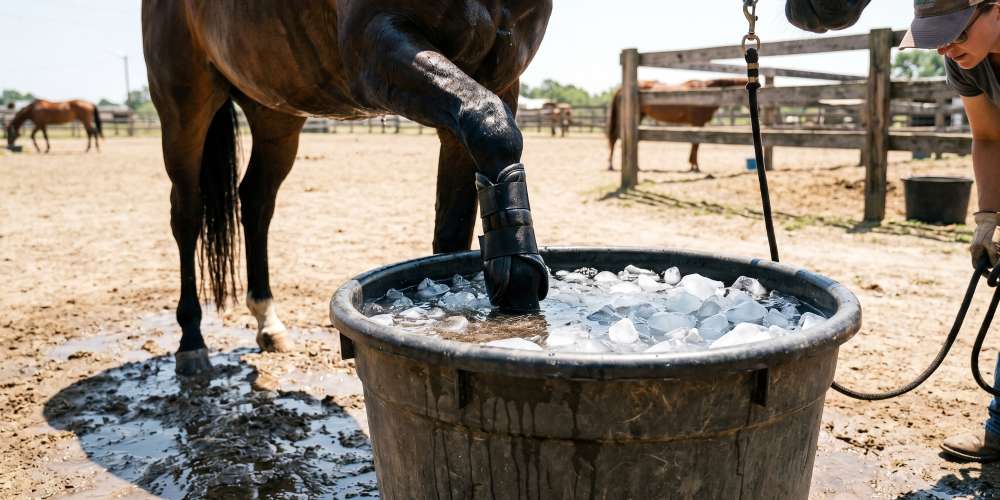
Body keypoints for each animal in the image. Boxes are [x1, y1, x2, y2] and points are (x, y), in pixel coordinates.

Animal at [142, 0, 552, 375]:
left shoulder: (499, 78)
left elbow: (452, 236)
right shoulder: (375, 45)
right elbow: (490, 124)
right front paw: (517, 281)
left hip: (275, 114)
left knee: (256, 202)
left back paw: (268, 322)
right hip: (185, 107)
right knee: (187, 215)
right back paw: (191, 343)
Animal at [606, 79, 748, 173]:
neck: (707, 91)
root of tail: (621, 89)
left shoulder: (696, 123)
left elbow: (694, 142)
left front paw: (692, 164)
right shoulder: (698, 122)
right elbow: (696, 143)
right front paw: (695, 166)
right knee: (615, 137)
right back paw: (612, 165)